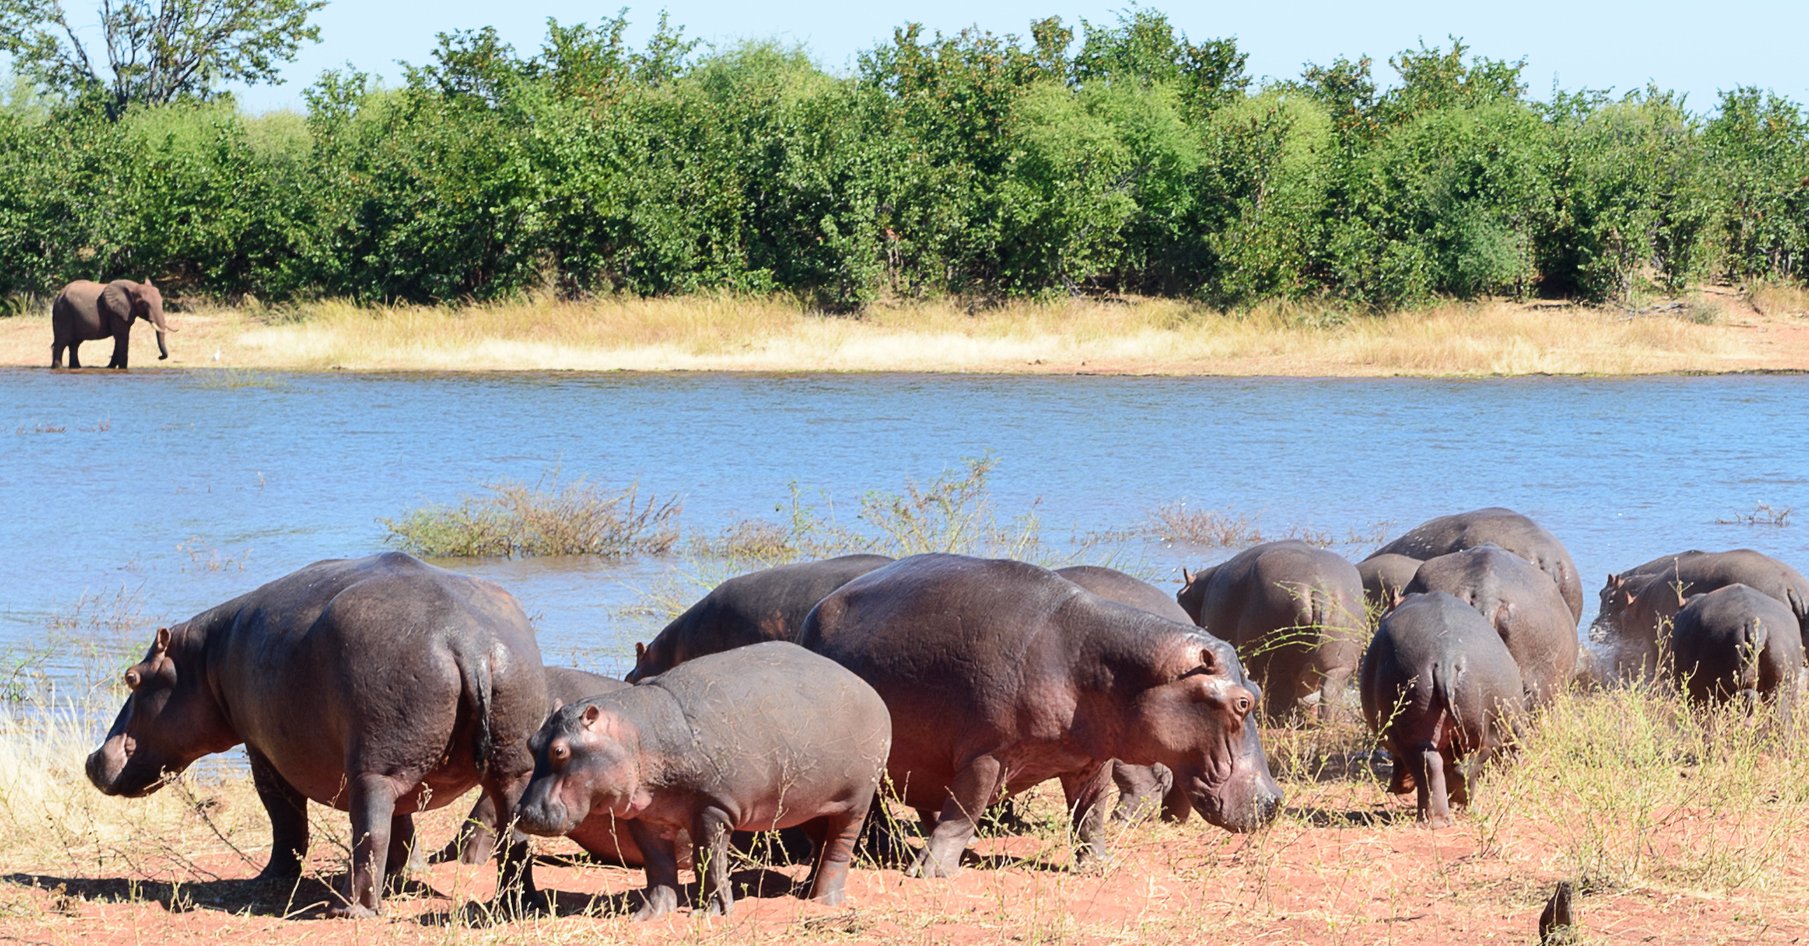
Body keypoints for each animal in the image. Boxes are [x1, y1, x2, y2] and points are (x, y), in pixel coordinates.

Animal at [85, 552, 548, 917]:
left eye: (132, 677)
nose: (92, 759)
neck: (202, 657)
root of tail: (468, 641)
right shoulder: (403, 761)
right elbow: (405, 822)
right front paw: (405, 873)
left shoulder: (263, 751)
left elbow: (285, 817)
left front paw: (268, 878)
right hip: (506, 765)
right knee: (515, 833)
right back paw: (519, 904)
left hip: (372, 769)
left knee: (369, 828)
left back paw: (349, 909)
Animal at [516, 642, 890, 918]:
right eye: (532, 743)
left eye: (560, 751)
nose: (524, 813)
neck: (636, 733)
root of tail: (867, 687)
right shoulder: (644, 815)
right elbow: (658, 866)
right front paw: (649, 915)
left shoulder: (713, 810)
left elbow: (708, 862)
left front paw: (712, 912)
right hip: (809, 805)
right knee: (821, 842)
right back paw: (802, 891)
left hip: (856, 800)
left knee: (839, 847)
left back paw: (823, 900)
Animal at [1177, 540, 1368, 721]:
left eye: (1178, 596)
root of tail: (1319, 589)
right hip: (1340, 664)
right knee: (1328, 695)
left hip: (1279, 663)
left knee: (1283, 699)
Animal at [1360, 592, 1525, 827]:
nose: (1395, 788)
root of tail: (1447, 659)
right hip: (1488, 729)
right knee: (1462, 767)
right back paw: (1453, 812)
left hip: (1411, 736)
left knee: (1429, 766)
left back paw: (1432, 818)